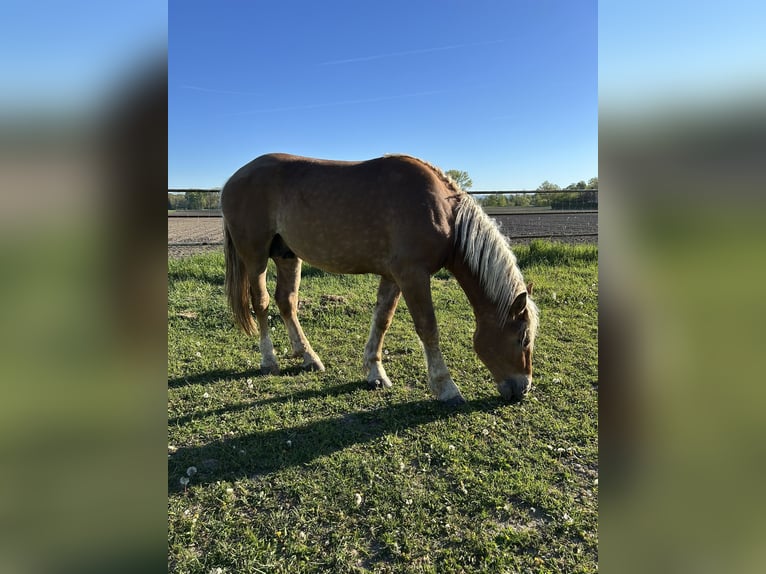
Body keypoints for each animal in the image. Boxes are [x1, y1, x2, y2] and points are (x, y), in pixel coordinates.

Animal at [221, 153, 539, 405]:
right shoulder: (412, 275)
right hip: (255, 257)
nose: (523, 389)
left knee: (286, 302)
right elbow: (428, 329)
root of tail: (233, 179)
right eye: (523, 338)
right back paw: (269, 361)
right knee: (261, 302)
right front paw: (446, 388)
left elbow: (382, 321)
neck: (441, 212)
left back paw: (308, 356)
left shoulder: (393, 276)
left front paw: (375, 373)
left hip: (287, 255)